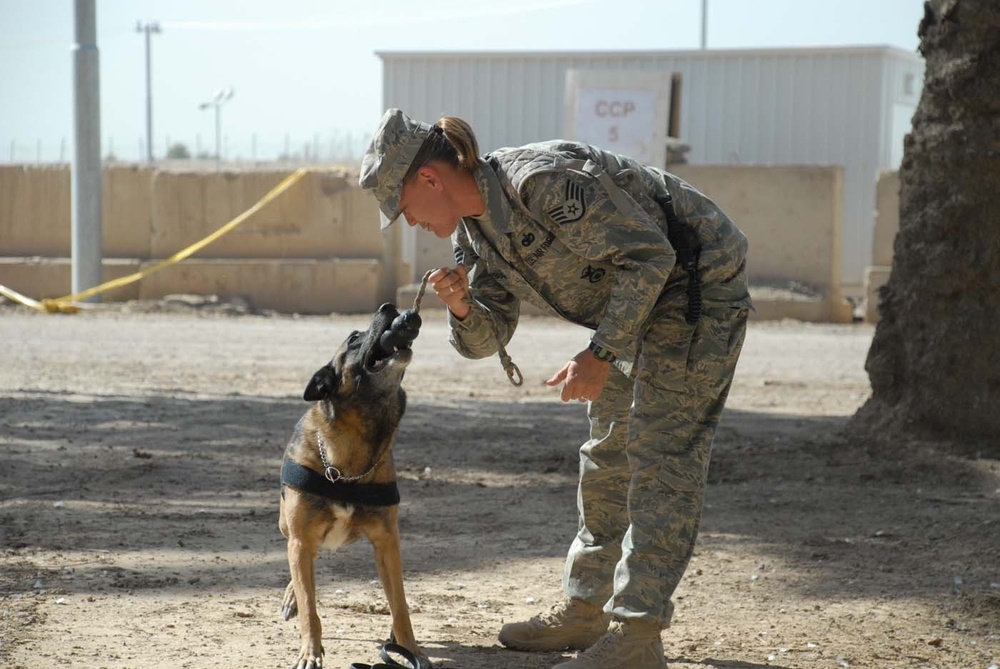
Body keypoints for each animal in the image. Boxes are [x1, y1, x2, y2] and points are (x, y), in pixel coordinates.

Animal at [278, 302, 430, 668]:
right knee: (298, 561)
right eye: (353, 339)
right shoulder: (301, 536)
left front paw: (410, 650)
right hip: (287, 526)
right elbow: (310, 608)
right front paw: (310, 652)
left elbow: (400, 607)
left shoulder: (387, 543)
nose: (389, 307)